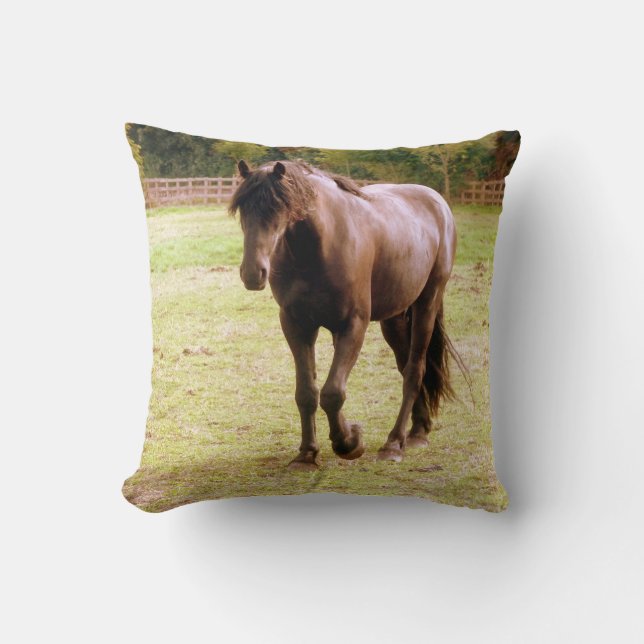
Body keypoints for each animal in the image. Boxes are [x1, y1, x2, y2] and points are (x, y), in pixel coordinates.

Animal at [229, 159, 459, 469]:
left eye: (278, 207)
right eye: (242, 208)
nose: (253, 273)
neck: (319, 246)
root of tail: (437, 201)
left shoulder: (353, 324)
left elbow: (333, 392)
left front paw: (349, 443)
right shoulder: (297, 325)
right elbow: (308, 392)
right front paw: (308, 453)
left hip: (427, 303)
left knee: (414, 370)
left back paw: (394, 443)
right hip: (394, 319)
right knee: (404, 366)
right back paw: (418, 430)